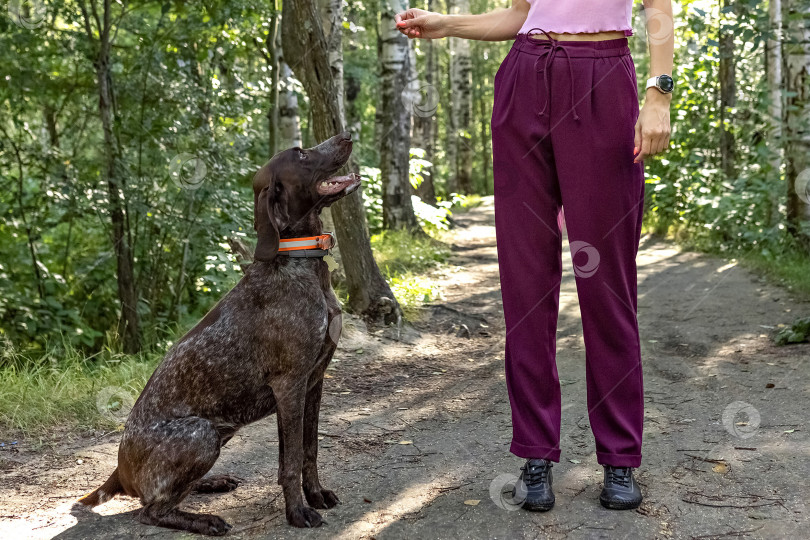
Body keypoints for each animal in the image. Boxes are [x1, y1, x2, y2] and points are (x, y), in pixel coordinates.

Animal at [78, 132, 360, 536]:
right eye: (302, 154)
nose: (346, 134)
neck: (300, 265)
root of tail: (118, 471)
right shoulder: (290, 384)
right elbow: (290, 461)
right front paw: (297, 512)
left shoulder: (314, 381)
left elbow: (309, 450)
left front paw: (315, 494)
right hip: (202, 434)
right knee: (151, 510)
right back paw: (204, 520)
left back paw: (211, 483)